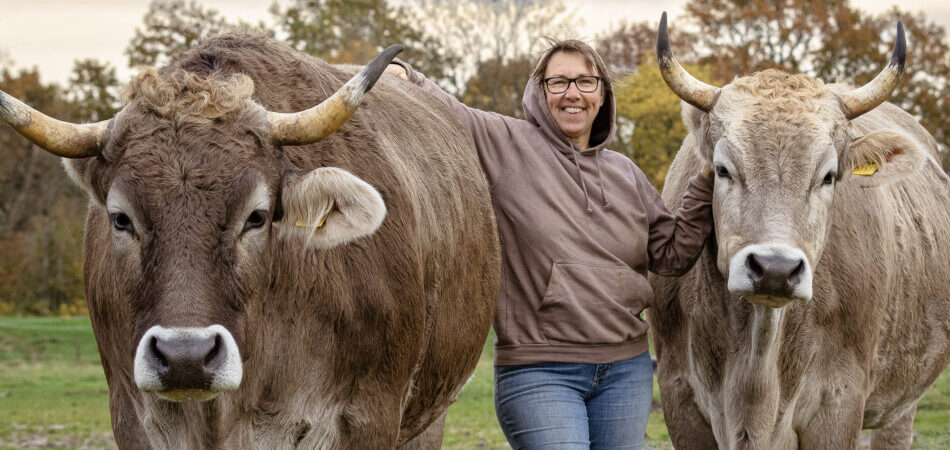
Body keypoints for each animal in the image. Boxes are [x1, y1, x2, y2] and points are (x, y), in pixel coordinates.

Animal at [652, 14, 950, 450]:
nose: (775, 268)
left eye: (828, 176)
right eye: (722, 169)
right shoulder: (680, 398)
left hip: (901, 405)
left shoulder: (840, 402)